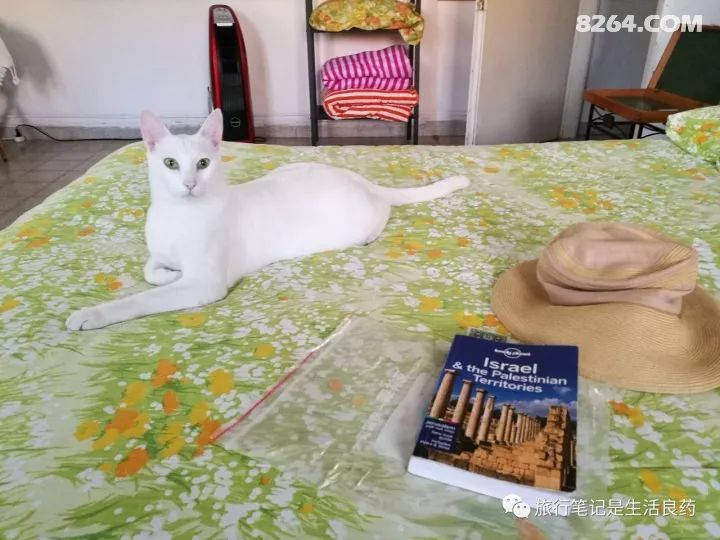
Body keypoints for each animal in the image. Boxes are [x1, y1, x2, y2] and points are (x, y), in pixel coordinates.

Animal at [66, 110, 470, 330]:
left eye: (203, 163)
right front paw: (167, 273)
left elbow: (139, 300)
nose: (190, 184)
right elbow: (150, 270)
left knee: (382, 212)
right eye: (170, 164)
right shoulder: (160, 256)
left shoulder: (205, 285)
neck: (177, 216)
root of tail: (358, 179)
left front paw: (91, 314)